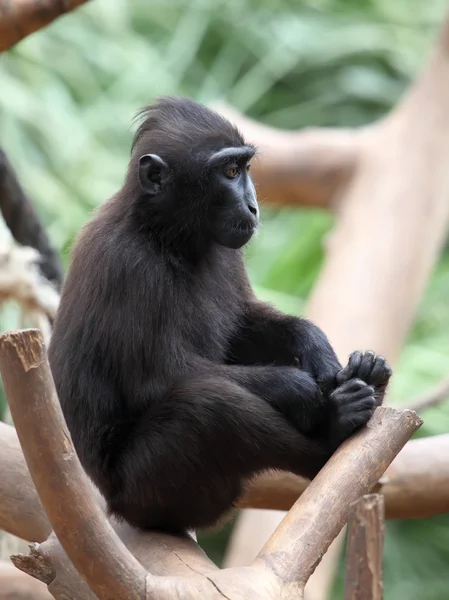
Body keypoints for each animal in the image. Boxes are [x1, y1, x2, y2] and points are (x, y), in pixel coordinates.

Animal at [49, 97, 390, 536]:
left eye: (245, 168)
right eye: (229, 172)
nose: (253, 206)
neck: (166, 236)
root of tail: (112, 506)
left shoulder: (227, 253)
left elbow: (244, 330)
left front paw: (319, 350)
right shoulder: (128, 265)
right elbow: (156, 378)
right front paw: (301, 388)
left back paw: (367, 380)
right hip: (151, 494)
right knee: (209, 405)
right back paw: (334, 430)